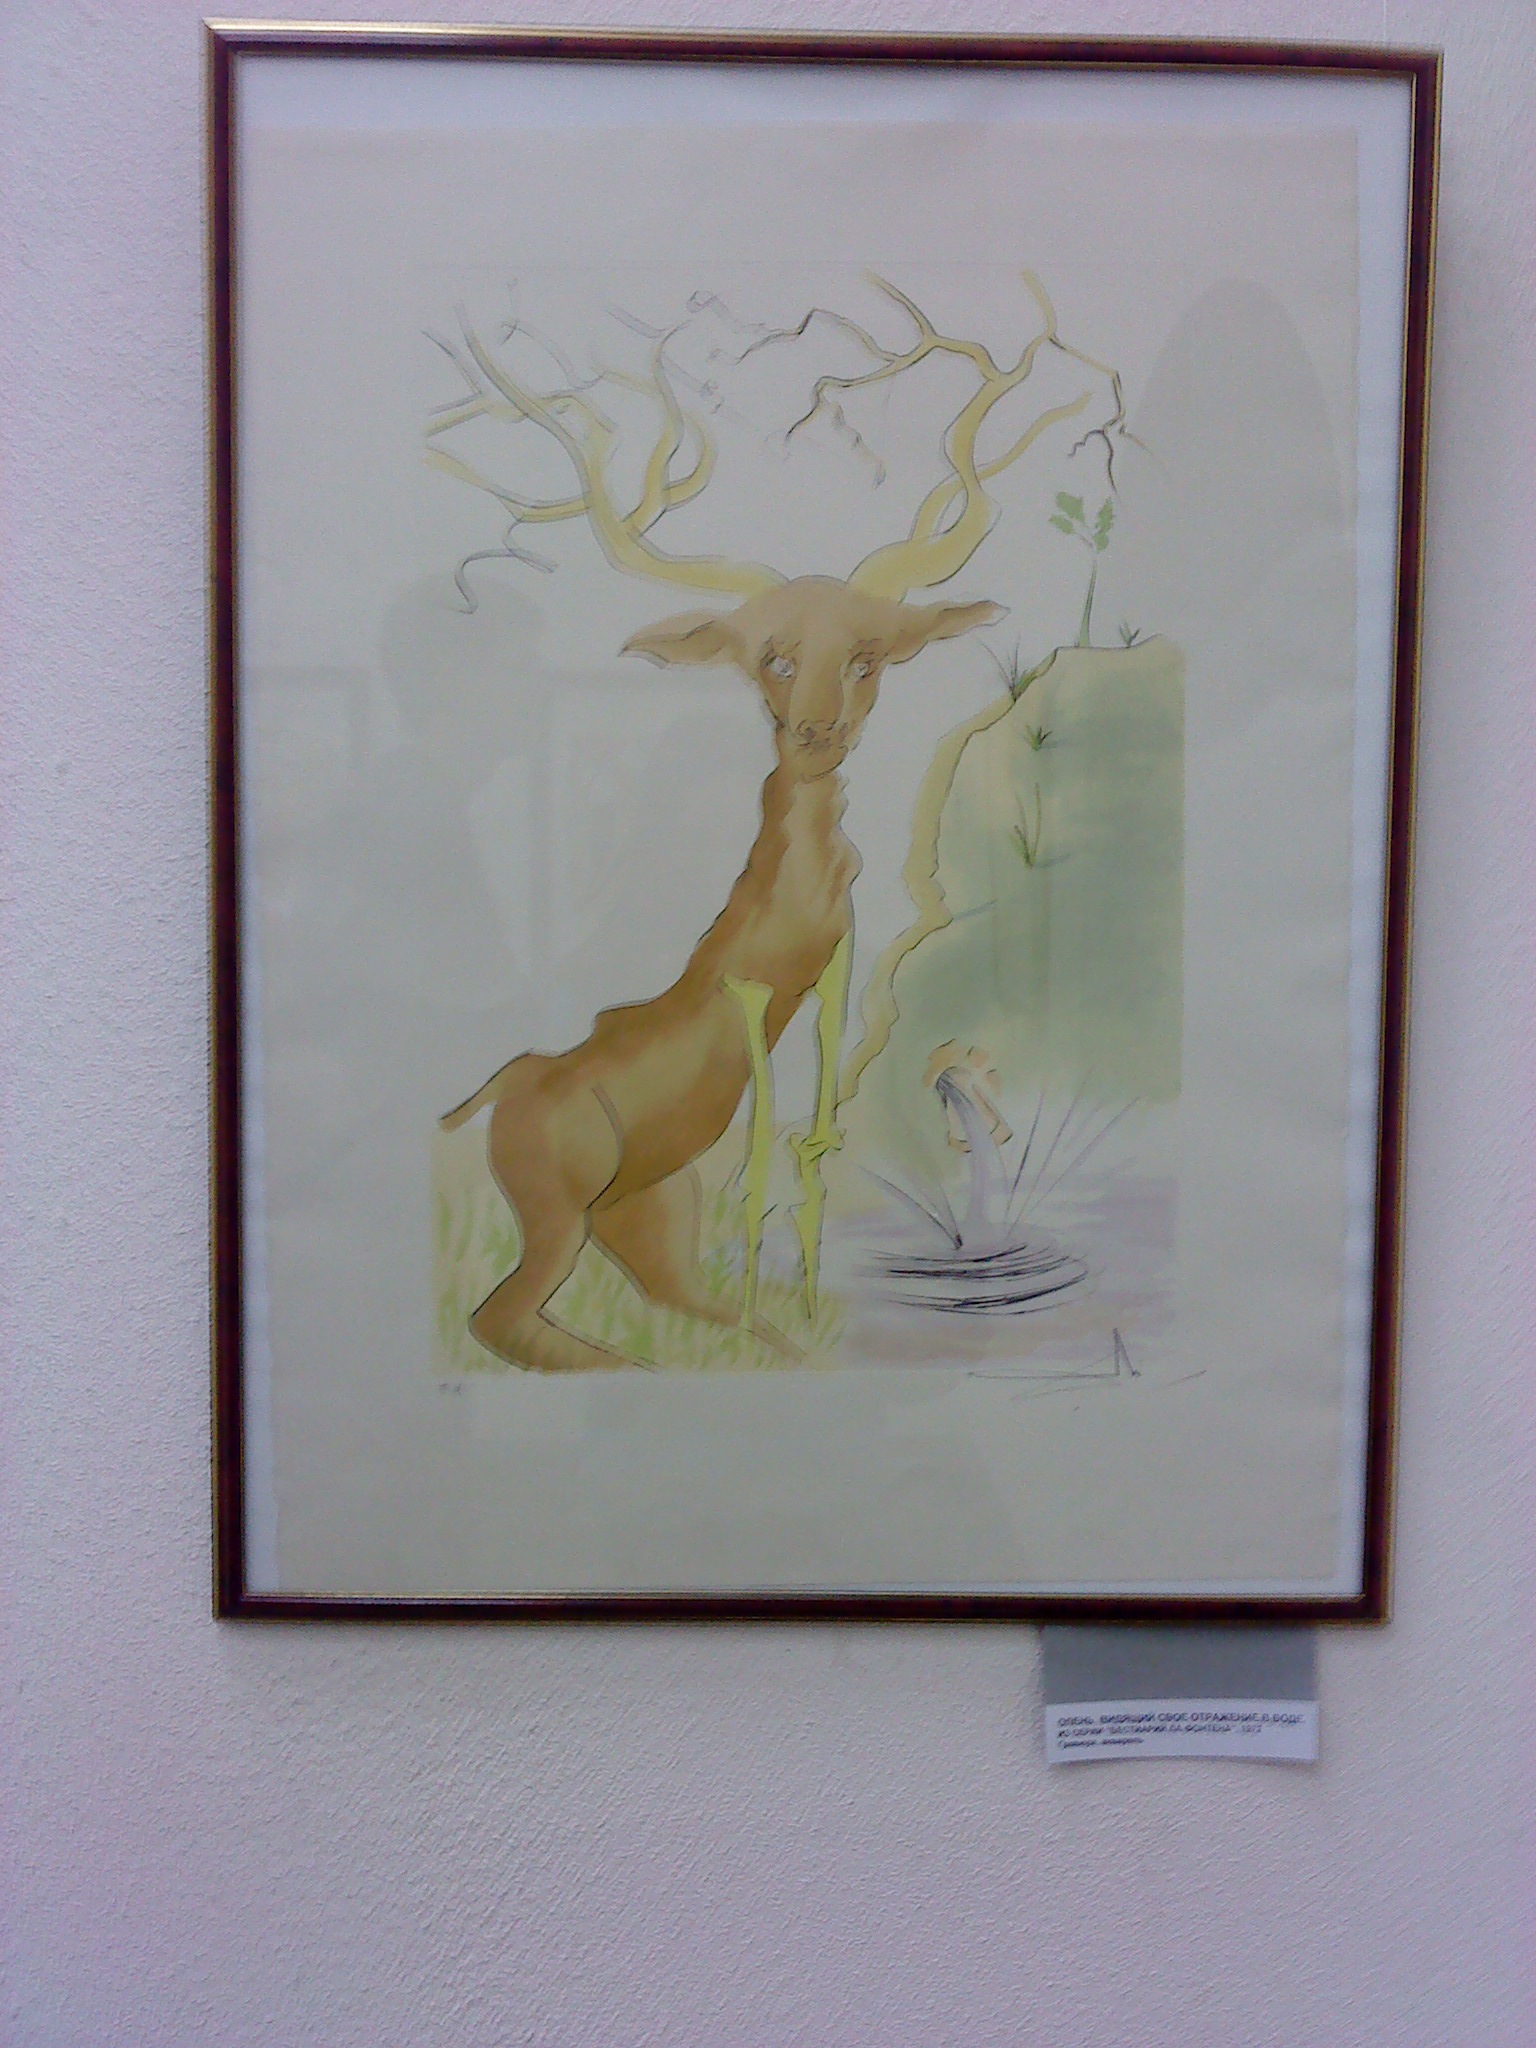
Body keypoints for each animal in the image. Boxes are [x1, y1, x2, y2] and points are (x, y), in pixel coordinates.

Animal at [427, 274, 1125, 1372]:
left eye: (870, 657)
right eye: (773, 654)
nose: (814, 733)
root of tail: (505, 1086)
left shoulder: (834, 969)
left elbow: (813, 1145)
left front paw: (804, 1307)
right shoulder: (753, 998)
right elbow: (762, 1154)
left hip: (639, 1213)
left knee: (655, 1300)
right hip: (558, 1214)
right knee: (501, 1319)